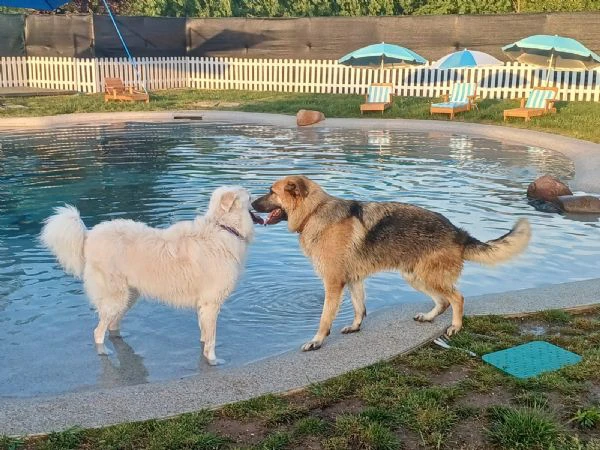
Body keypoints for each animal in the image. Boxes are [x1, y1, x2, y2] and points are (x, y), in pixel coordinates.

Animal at [39, 186, 260, 366]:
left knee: (112, 325)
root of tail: (88, 236)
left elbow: (205, 334)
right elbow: (211, 339)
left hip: (129, 296)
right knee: (98, 331)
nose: (259, 201)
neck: (223, 227)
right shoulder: (211, 303)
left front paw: (205, 351)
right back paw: (104, 351)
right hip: (116, 297)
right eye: (249, 197)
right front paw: (213, 361)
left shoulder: (204, 306)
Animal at [251, 176, 532, 352]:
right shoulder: (353, 280)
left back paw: (455, 326)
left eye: (271, 191)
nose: (251, 204)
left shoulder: (333, 283)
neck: (314, 212)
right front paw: (356, 326)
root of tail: (458, 232)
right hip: (415, 276)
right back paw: (429, 317)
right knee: (442, 301)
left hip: (427, 276)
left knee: (457, 298)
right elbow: (359, 307)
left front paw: (317, 341)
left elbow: (324, 318)